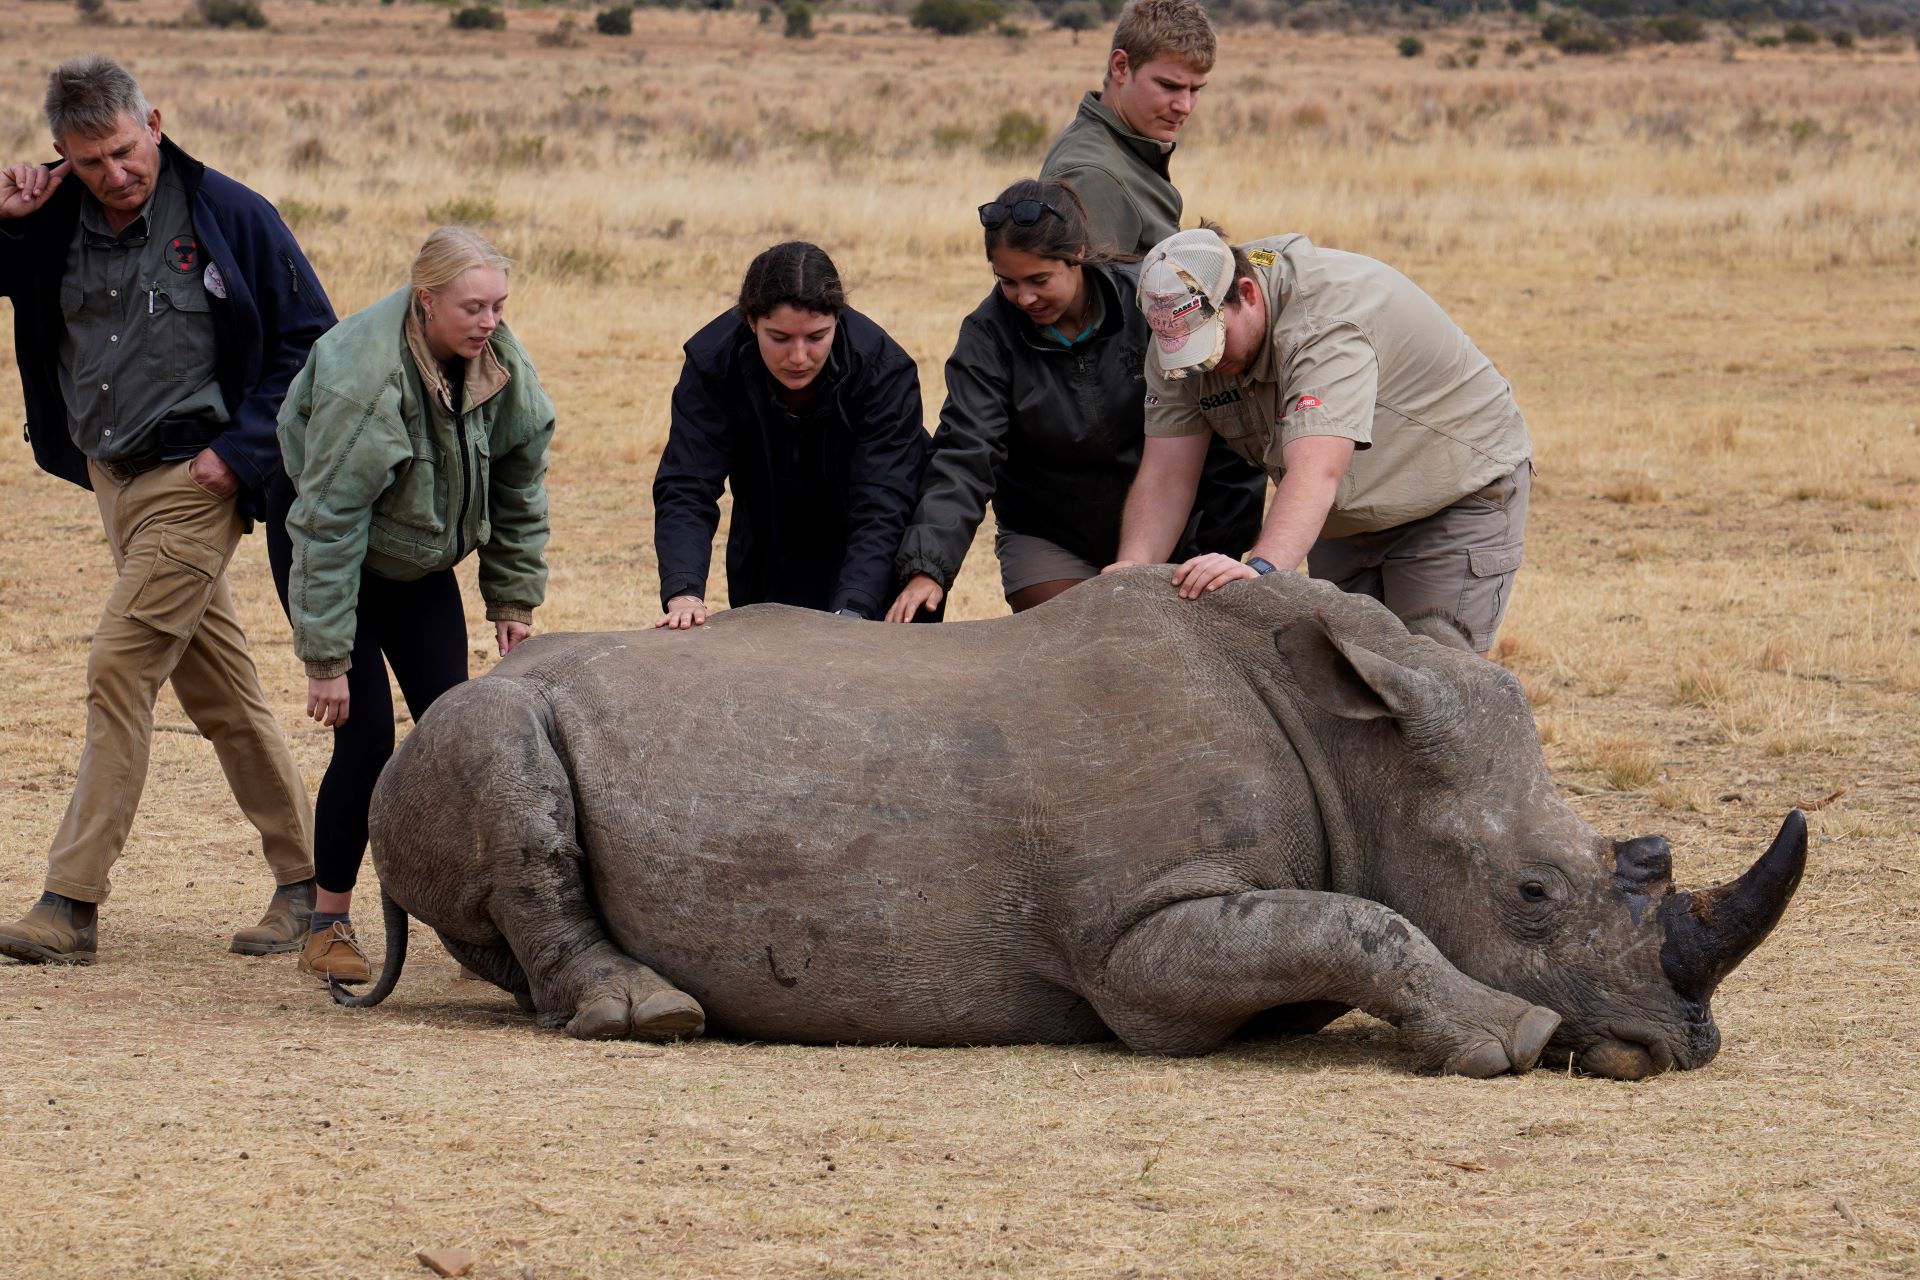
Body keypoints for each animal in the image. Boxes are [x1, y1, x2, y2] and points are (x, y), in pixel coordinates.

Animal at [338, 568, 1806, 1080]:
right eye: (1535, 898)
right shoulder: (1135, 947)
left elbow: (1343, 925)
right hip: (478, 712)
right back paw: (650, 1018)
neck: (1358, 748)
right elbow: (1364, 924)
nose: (1680, 1047)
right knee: (499, 759)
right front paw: (1509, 1038)